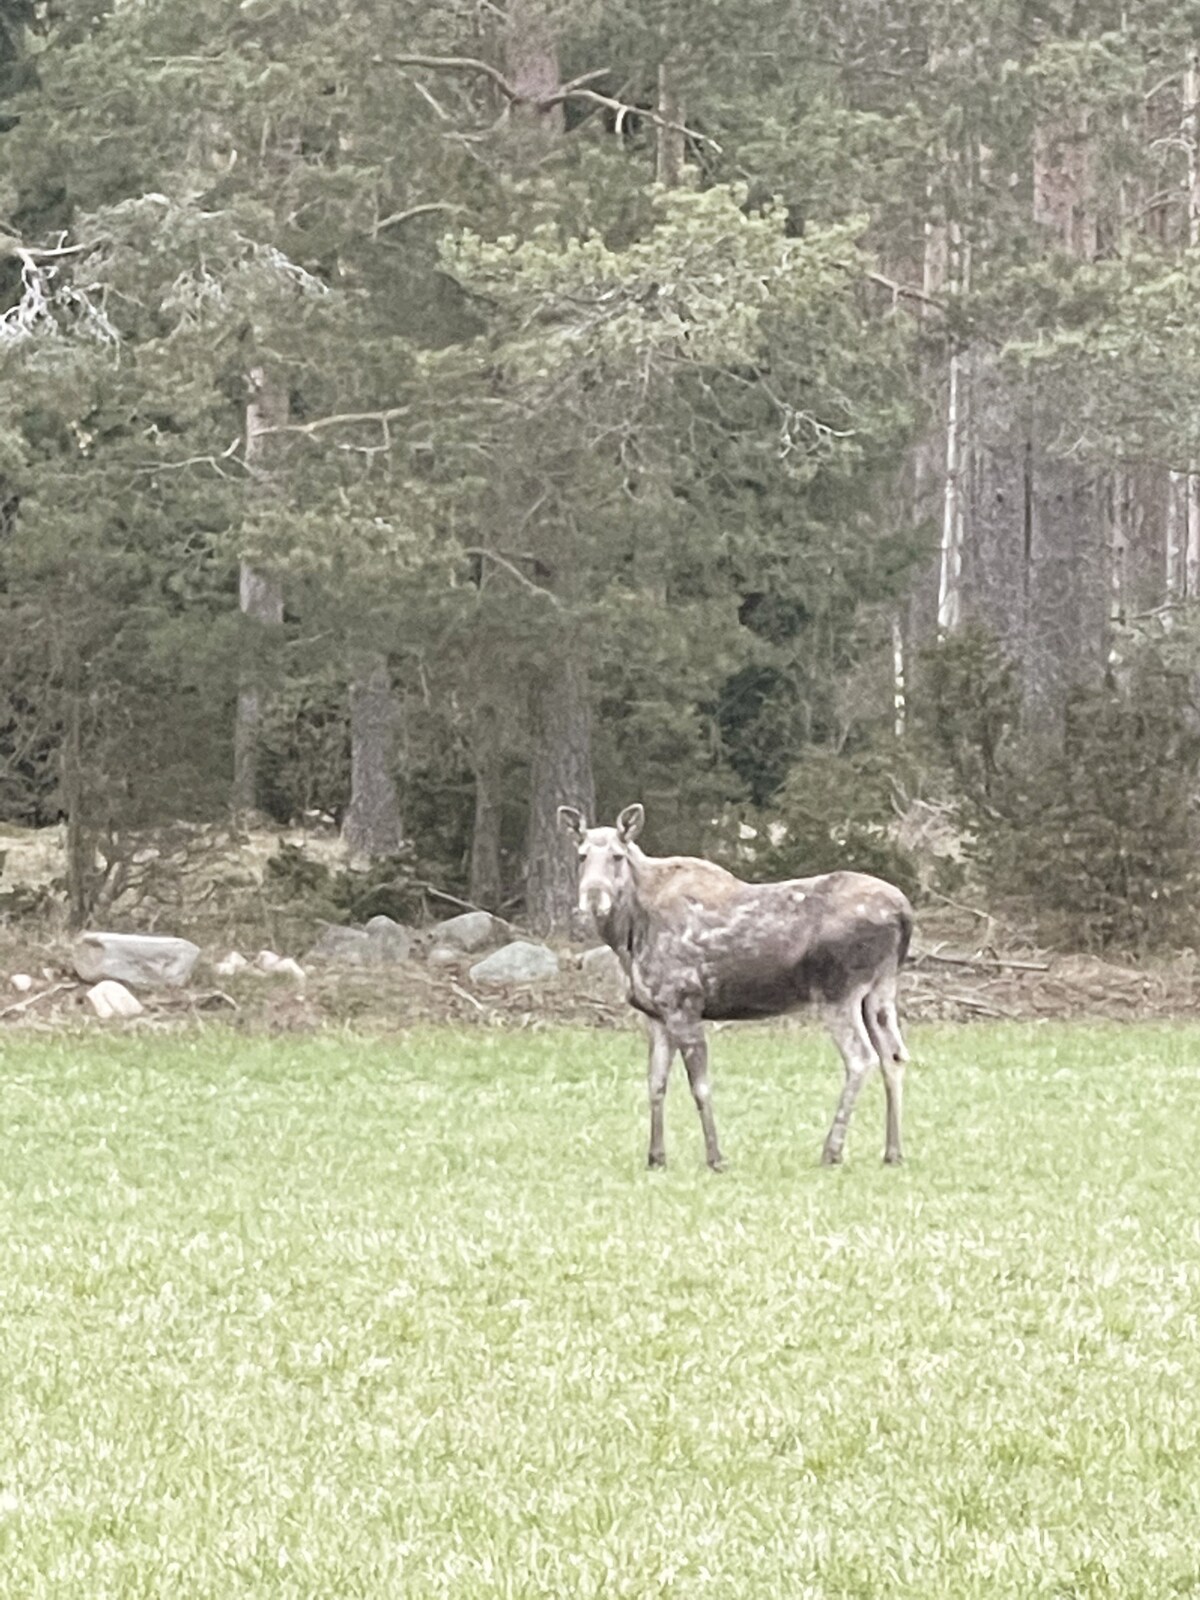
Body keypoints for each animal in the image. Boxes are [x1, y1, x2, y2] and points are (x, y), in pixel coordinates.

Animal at [560, 806, 915, 1171]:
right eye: (582, 855)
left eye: (617, 856)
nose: (592, 898)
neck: (627, 938)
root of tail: (905, 913)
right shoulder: (655, 1015)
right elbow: (655, 1084)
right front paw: (656, 1157)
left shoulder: (683, 1003)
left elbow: (700, 1086)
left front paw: (715, 1157)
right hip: (880, 992)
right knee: (894, 1055)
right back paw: (893, 1151)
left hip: (838, 992)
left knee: (861, 1057)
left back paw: (832, 1150)